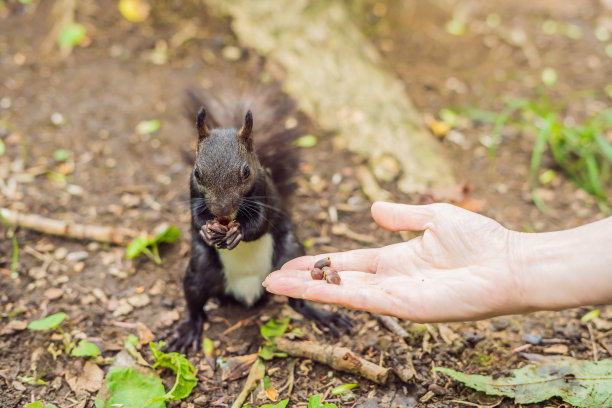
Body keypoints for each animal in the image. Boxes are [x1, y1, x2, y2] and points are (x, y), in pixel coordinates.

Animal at [165, 84, 352, 352]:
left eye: (246, 171)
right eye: (198, 172)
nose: (221, 210)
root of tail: (248, 291)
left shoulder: (265, 191)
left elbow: (261, 223)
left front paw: (238, 233)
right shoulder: (192, 191)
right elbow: (195, 217)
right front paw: (205, 230)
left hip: (288, 253)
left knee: (298, 303)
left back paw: (322, 315)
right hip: (199, 271)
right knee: (195, 304)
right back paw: (189, 328)